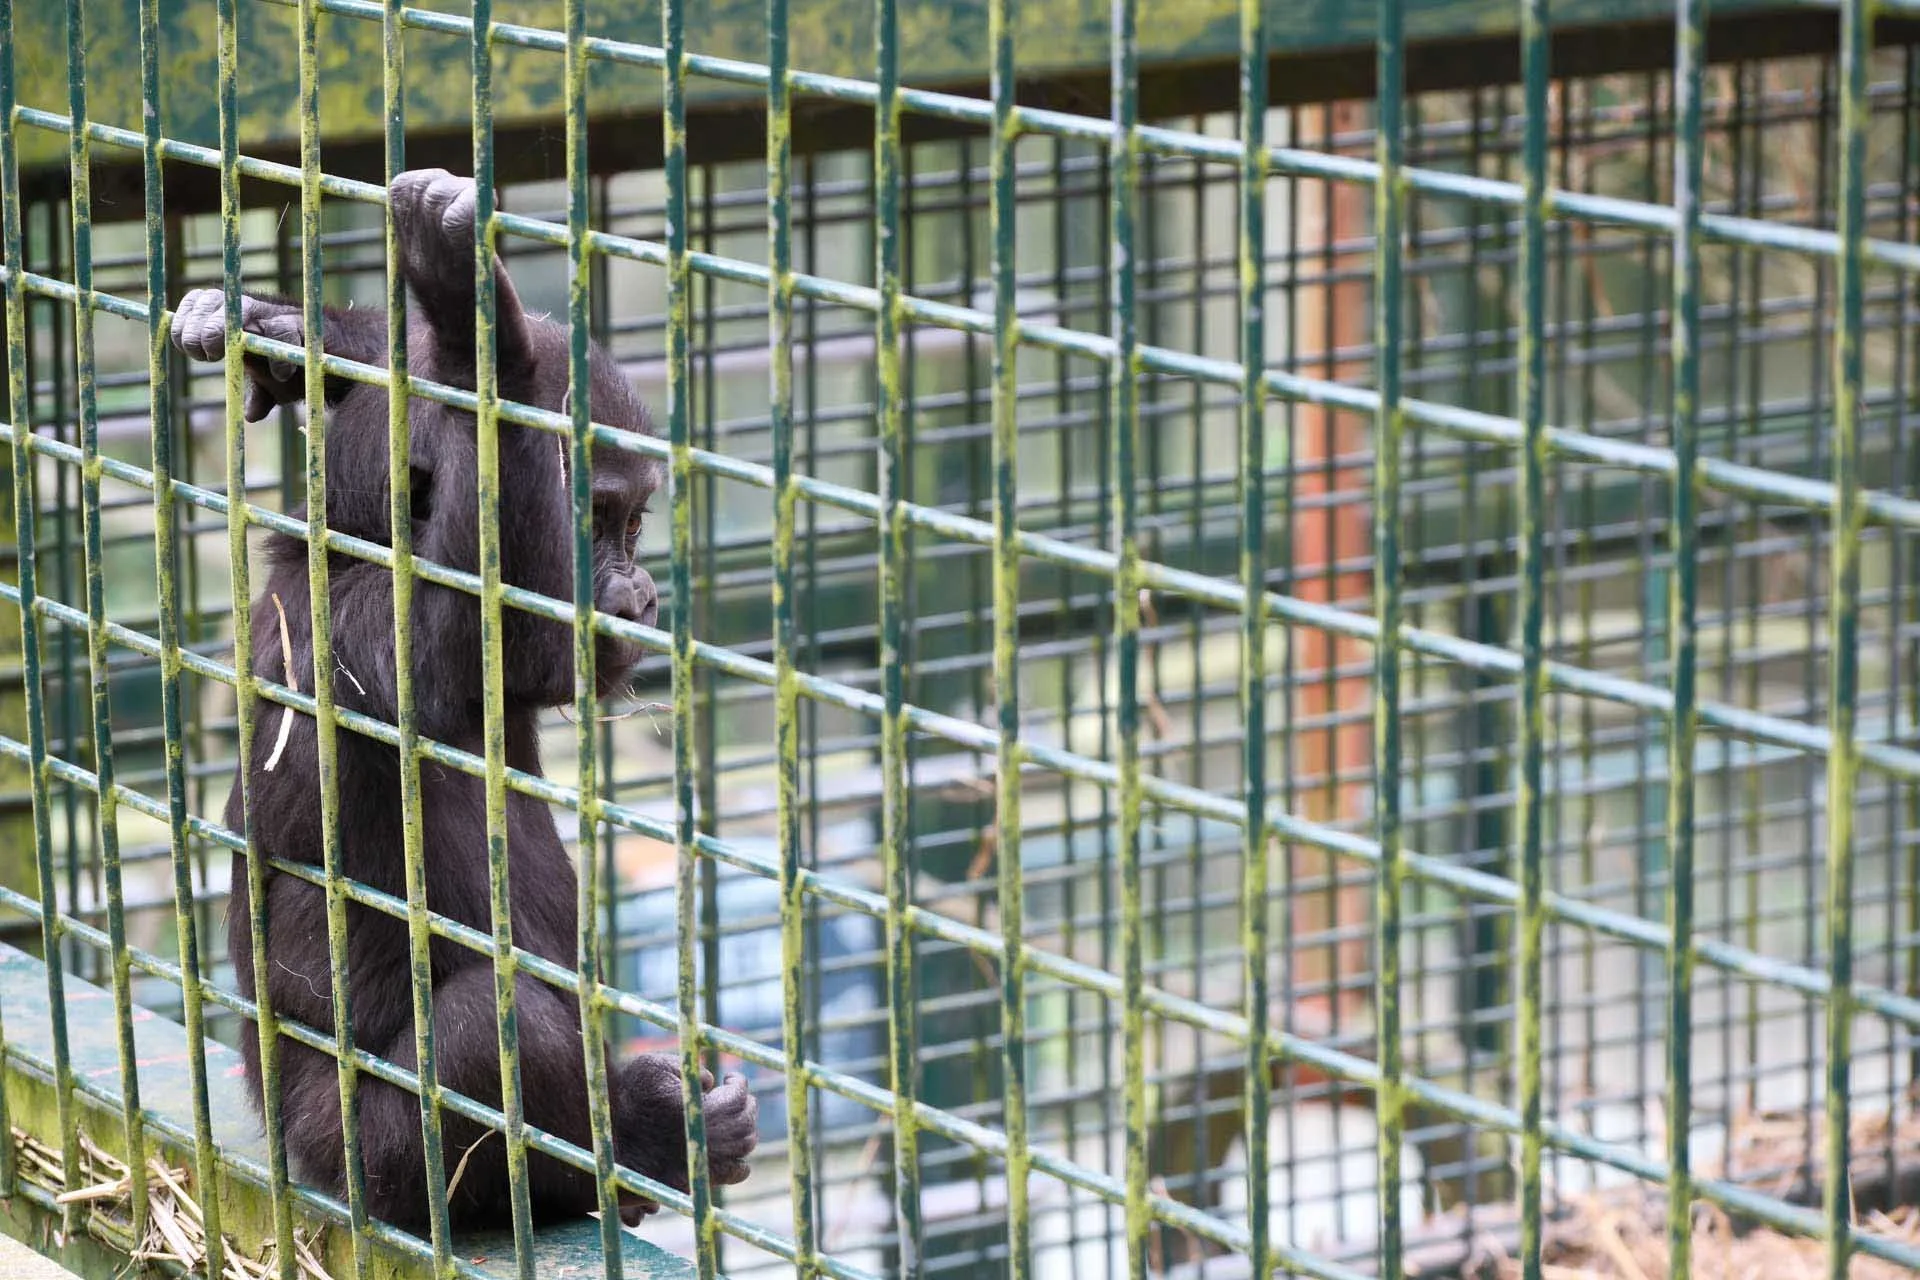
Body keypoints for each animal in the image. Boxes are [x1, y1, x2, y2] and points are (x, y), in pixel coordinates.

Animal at [170, 168, 757, 1233]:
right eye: (599, 516)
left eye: (633, 522)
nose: (641, 591)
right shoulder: (369, 637)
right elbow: (480, 618)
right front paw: (475, 322)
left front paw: (291, 327)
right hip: (365, 1161)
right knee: (493, 1026)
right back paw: (638, 1144)